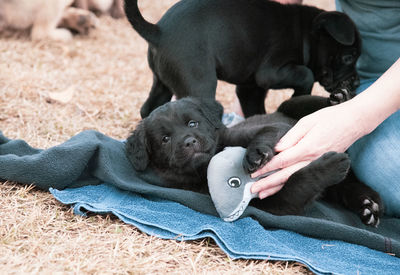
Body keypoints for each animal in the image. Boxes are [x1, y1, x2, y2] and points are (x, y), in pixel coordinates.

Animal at [123, 0, 360, 117]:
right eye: (349, 57)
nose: (357, 82)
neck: (305, 34)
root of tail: (159, 31)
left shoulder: (250, 89)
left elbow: (255, 111)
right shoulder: (270, 72)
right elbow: (306, 74)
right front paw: (299, 97)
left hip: (162, 82)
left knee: (149, 109)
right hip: (199, 85)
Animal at [126, 97, 382, 229]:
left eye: (192, 124)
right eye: (165, 139)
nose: (189, 142)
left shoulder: (273, 129)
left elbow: (267, 133)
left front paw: (256, 154)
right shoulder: (276, 205)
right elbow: (299, 182)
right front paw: (330, 166)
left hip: (295, 104)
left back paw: (340, 96)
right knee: (348, 186)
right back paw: (367, 205)